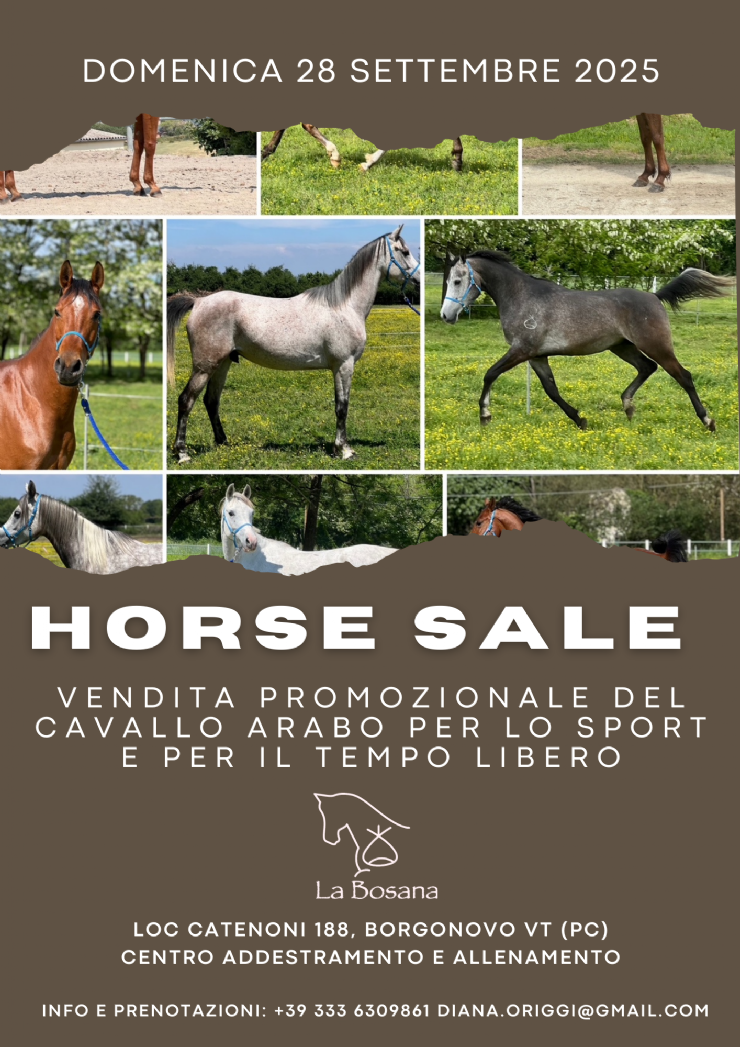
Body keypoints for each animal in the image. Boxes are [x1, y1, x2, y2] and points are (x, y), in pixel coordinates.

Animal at [1, 114, 160, 203]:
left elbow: (138, 144)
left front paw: (137, 186)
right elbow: (150, 143)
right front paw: (153, 186)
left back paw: (14, 193)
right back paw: (3, 196)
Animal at [167, 225, 420, 463]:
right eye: (405, 251)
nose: (418, 280)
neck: (344, 306)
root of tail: (199, 301)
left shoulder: (340, 367)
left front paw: (339, 448)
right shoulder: (344, 365)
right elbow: (342, 406)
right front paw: (344, 450)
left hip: (222, 364)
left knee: (211, 401)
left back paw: (223, 443)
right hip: (204, 367)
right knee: (186, 400)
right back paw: (183, 453)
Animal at [441, 250, 734, 433]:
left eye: (457, 281)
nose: (446, 315)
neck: (522, 296)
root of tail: (654, 296)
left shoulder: (521, 350)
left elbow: (490, 374)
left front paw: (485, 416)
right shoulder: (536, 356)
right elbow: (552, 390)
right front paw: (580, 420)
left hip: (656, 346)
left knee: (683, 376)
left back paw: (708, 421)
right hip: (622, 347)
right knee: (647, 368)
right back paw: (628, 407)